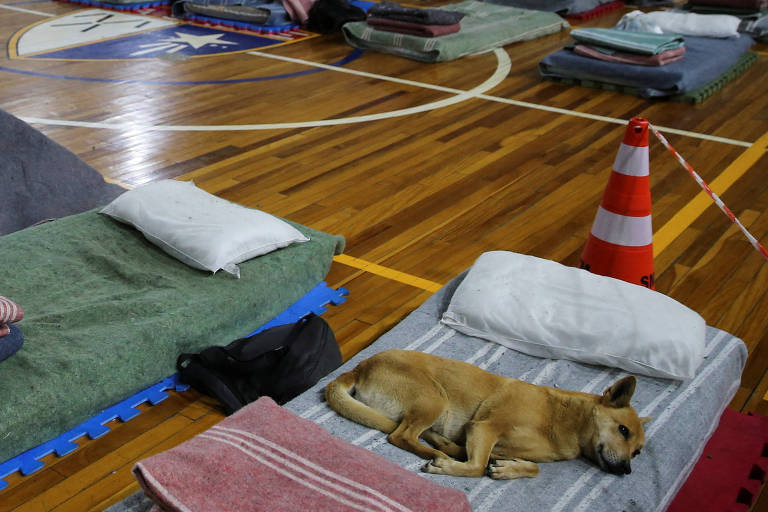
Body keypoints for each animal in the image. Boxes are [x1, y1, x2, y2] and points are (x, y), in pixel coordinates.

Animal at [324, 350, 648, 478]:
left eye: (638, 452)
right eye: (623, 430)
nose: (627, 471)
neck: (563, 420)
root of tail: (358, 368)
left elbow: (534, 468)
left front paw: (509, 469)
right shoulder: (484, 428)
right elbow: (478, 467)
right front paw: (450, 468)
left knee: (415, 434)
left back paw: (444, 446)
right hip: (435, 397)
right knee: (399, 435)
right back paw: (439, 456)